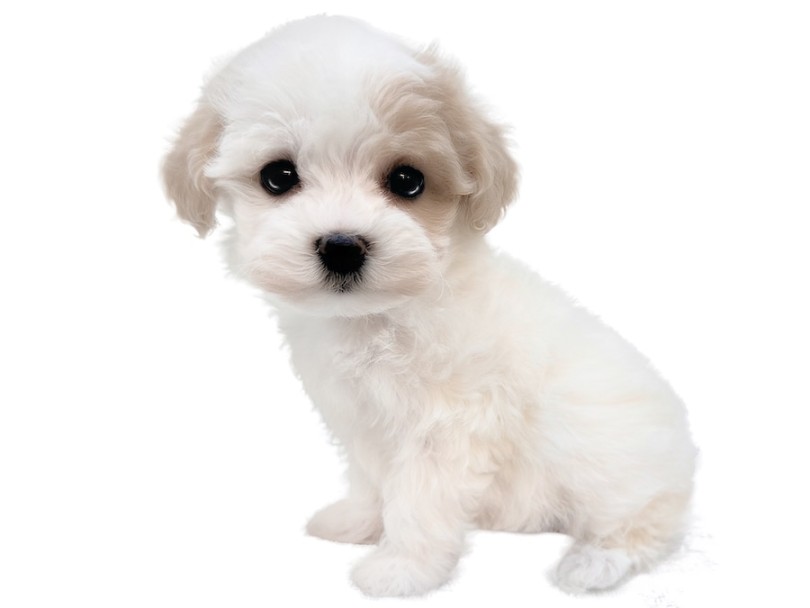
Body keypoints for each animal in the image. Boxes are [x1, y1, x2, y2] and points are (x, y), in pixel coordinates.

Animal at [162, 15, 697, 596]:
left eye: (407, 180)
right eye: (278, 176)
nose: (342, 246)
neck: (377, 317)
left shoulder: (449, 428)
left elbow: (419, 500)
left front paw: (402, 568)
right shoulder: (364, 423)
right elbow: (373, 479)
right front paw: (359, 521)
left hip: (611, 461)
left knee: (648, 520)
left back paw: (597, 561)